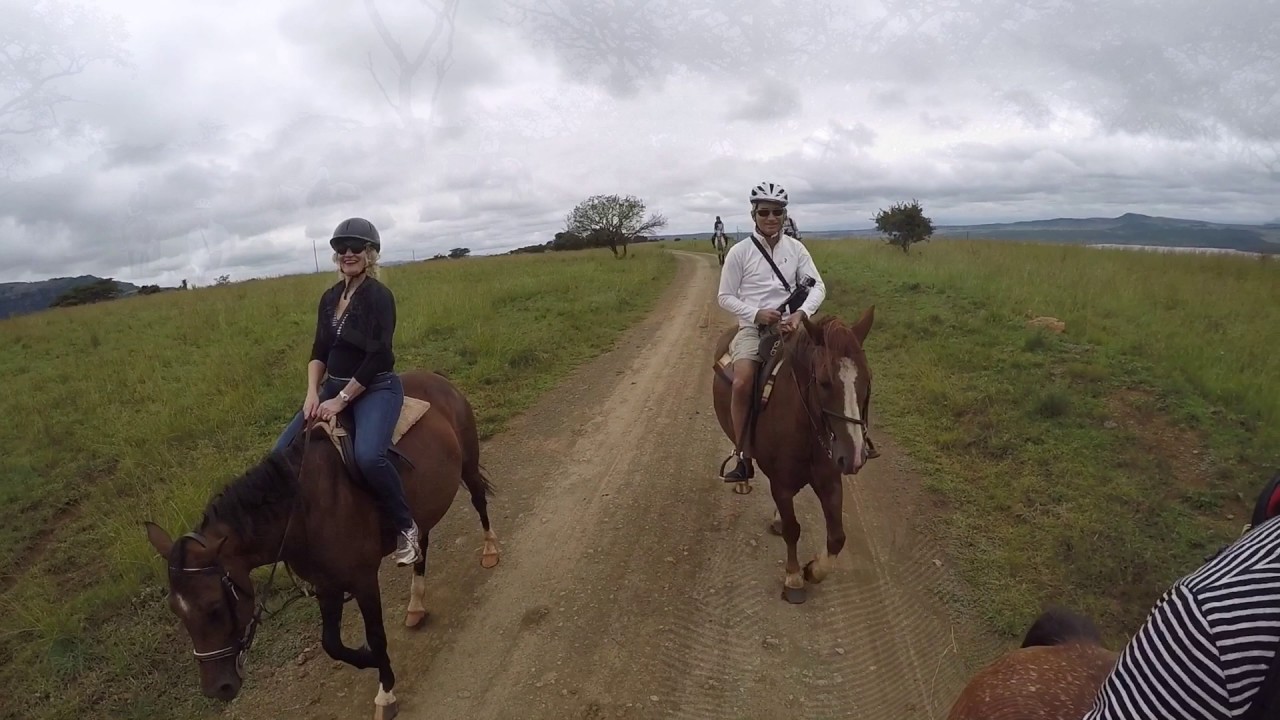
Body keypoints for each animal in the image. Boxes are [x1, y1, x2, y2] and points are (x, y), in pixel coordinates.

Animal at [143, 369, 501, 720]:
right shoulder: (326, 584)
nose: (217, 689)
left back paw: (490, 551)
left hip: (468, 464)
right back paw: (416, 605)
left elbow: (376, 635)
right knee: (421, 543)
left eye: (214, 607)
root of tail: (438, 379)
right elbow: (332, 644)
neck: (303, 508)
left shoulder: (362, 580)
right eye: (177, 610)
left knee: (479, 501)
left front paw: (385, 691)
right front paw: (367, 658)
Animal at [710, 308, 876, 603]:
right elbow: (792, 529)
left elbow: (837, 537)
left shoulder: (830, 482)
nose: (855, 455)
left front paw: (814, 570)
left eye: (867, 381)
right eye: (823, 382)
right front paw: (794, 578)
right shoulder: (782, 484)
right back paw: (742, 477)